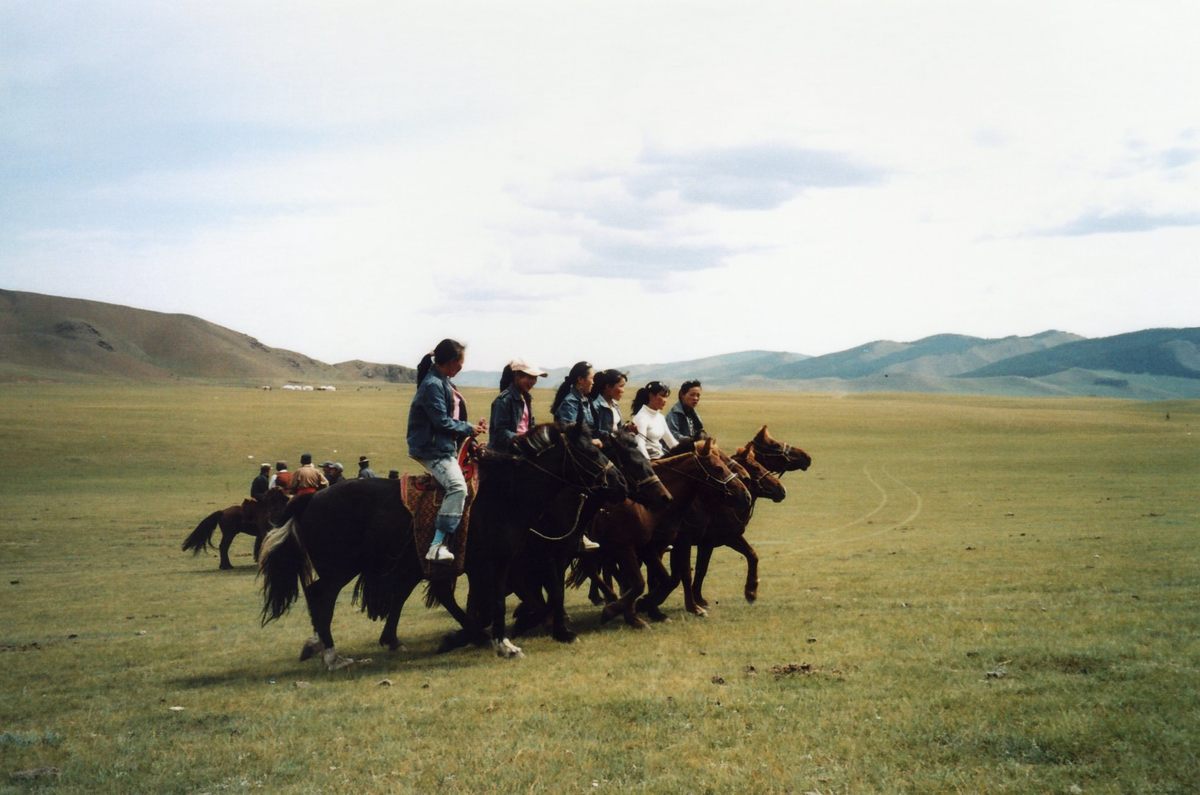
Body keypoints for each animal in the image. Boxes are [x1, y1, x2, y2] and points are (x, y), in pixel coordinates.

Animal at [573, 439, 748, 634]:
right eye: (718, 467)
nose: (745, 493)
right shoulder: (635, 547)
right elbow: (662, 578)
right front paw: (640, 609)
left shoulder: (654, 547)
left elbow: (664, 579)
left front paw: (650, 609)